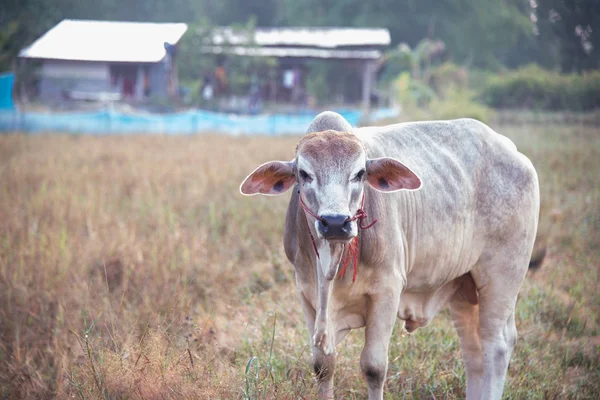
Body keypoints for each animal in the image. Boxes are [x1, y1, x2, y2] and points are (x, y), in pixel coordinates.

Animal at [239, 111, 540, 400]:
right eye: (304, 173)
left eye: (360, 173)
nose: (335, 222)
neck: (331, 266)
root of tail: (512, 151)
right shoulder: (306, 292)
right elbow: (323, 366)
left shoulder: (387, 291)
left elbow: (374, 367)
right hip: (464, 288)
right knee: (473, 352)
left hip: (503, 275)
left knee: (496, 346)